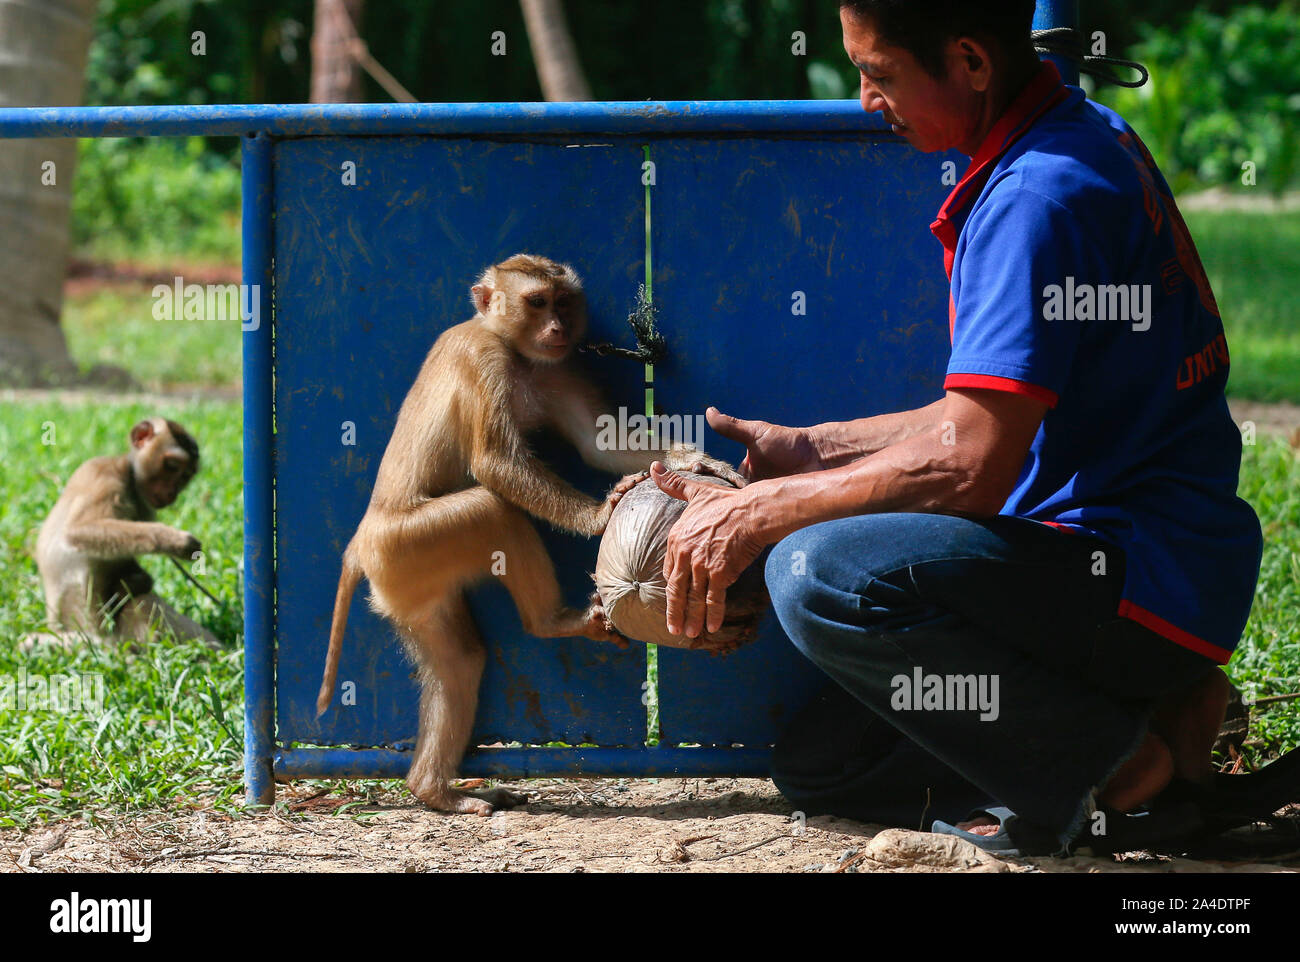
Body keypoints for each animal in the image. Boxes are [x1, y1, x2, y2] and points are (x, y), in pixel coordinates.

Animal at [33, 416, 218, 647]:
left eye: (185, 476)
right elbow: (78, 530)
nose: (172, 493)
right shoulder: (104, 473)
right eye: (172, 466)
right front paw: (177, 542)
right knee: (141, 601)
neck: (131, 478)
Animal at [317, 253, 743, 811]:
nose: (558, 327)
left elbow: (599, 443)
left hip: (406, 585)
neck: (513, 349)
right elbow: (495, 463)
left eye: (562, 301)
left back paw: (433, 790)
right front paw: (600, 516)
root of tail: (359, 545)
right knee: (491, 510)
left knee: (459, 660)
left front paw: (695, 463)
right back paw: (551, 623)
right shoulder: (483, 359)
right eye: (537, 302)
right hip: (405, 546)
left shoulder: (556, 368)